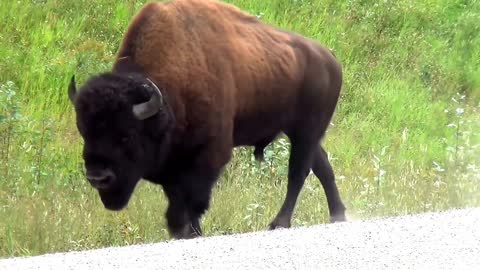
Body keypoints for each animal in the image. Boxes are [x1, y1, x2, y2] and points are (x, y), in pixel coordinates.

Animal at [67, 0, 344, 239]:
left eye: (126, 135)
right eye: (84, 132)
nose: (97, 178)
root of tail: (331, 60)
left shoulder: (208, 155)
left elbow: (192, 200)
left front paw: (187, 232)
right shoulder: (173, 164)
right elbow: (178, 200)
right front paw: (183, 231)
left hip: (305, 132)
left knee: (298, 173)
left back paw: (280, 223)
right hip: (304, 134)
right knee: (322, 166)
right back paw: (338, 216)